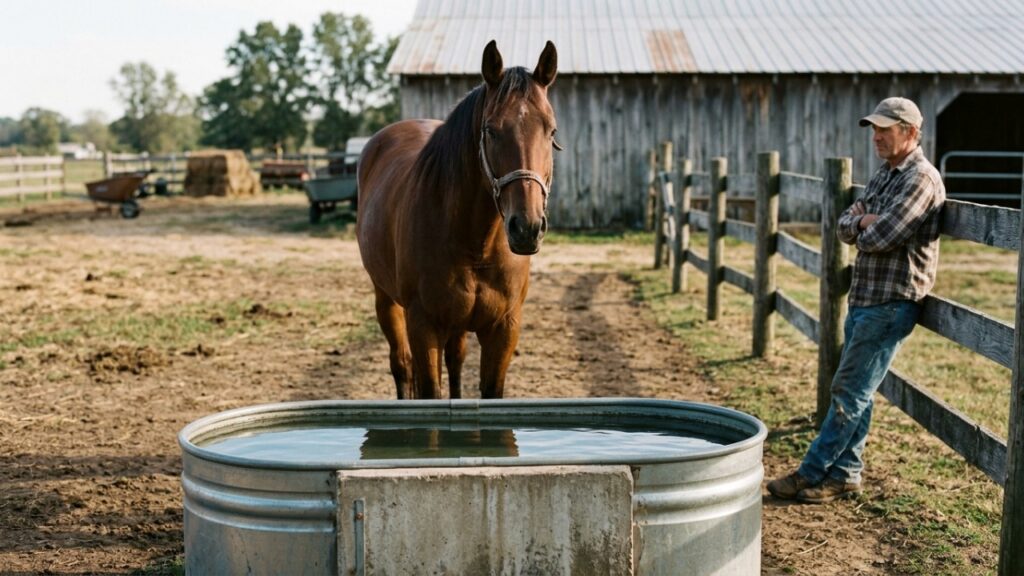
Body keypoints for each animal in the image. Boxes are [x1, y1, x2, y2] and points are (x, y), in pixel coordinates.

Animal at [355, 40, 560, 400]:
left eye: (551, 131)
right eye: (491, 130)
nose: (527, 228)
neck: (475, 245)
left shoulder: (503, 329)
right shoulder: (424, 326)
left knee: (455, 360)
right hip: (386, 300)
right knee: (401, 364)